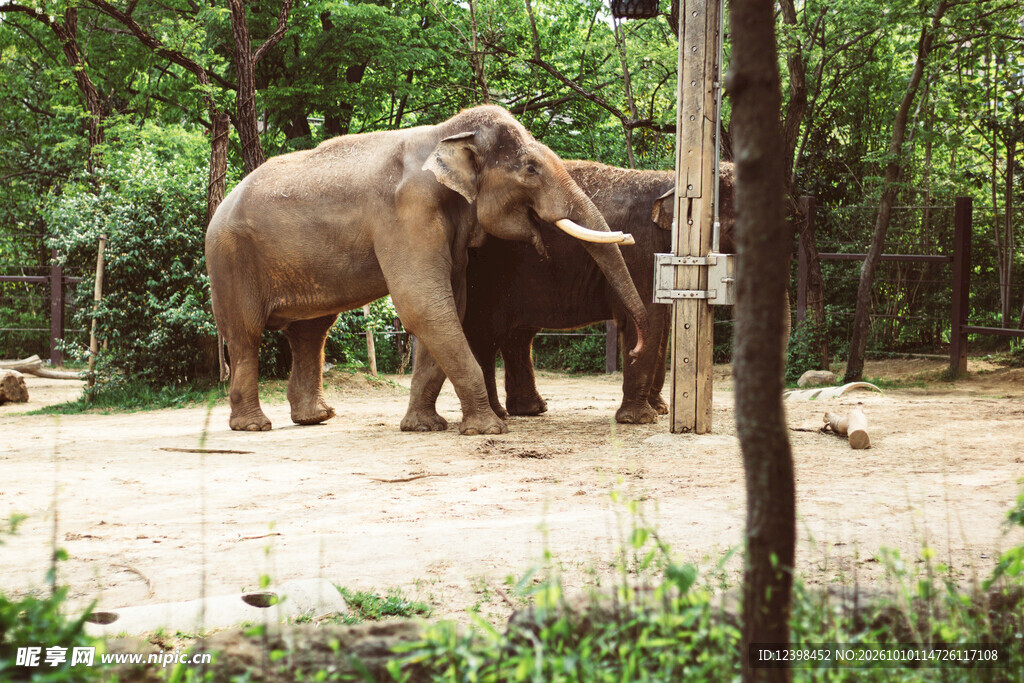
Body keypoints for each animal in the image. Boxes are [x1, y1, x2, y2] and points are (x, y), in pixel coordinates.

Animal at [205, 105, 650, 435]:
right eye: (529, 169)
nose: (636, 347)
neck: (445, 134)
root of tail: (220, 206)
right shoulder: (407, 212)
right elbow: (423, 305)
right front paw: (488, 429)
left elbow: (449, 302)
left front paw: (424, 426)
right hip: (229, 259)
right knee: (245, 335)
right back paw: (253, 426)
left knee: (310, 332)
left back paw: (316, 418)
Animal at [405, 160, 748, 425]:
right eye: (735, 228)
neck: (670, 178)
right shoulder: (641, 251)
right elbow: (647, 319)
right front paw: (640, 420)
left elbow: (661, 323)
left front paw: (659, 411)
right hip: (483, 273)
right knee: (487, 335)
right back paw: (501, 414)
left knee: (517, 336)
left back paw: (530, 410)